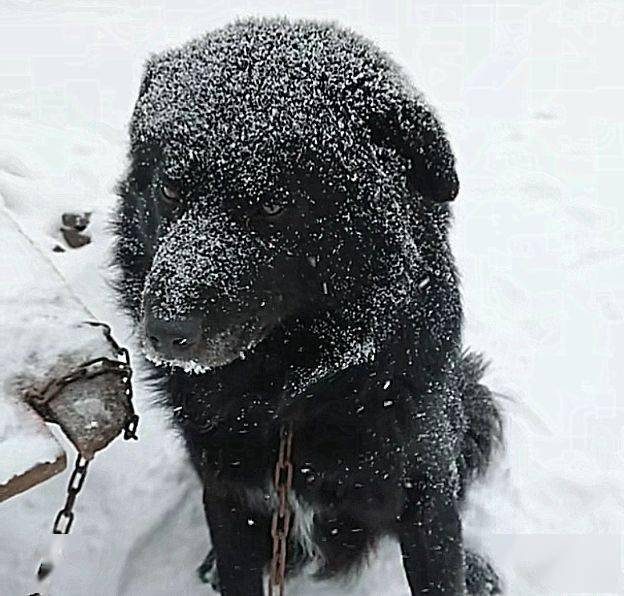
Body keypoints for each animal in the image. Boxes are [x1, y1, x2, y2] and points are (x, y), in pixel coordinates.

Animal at [111, 16, 502, 592]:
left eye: (274, 205)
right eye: (170, 190)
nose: (164, 332)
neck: (293, 398)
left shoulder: (424, 496)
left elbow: (440, 564)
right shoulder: (231, 497)